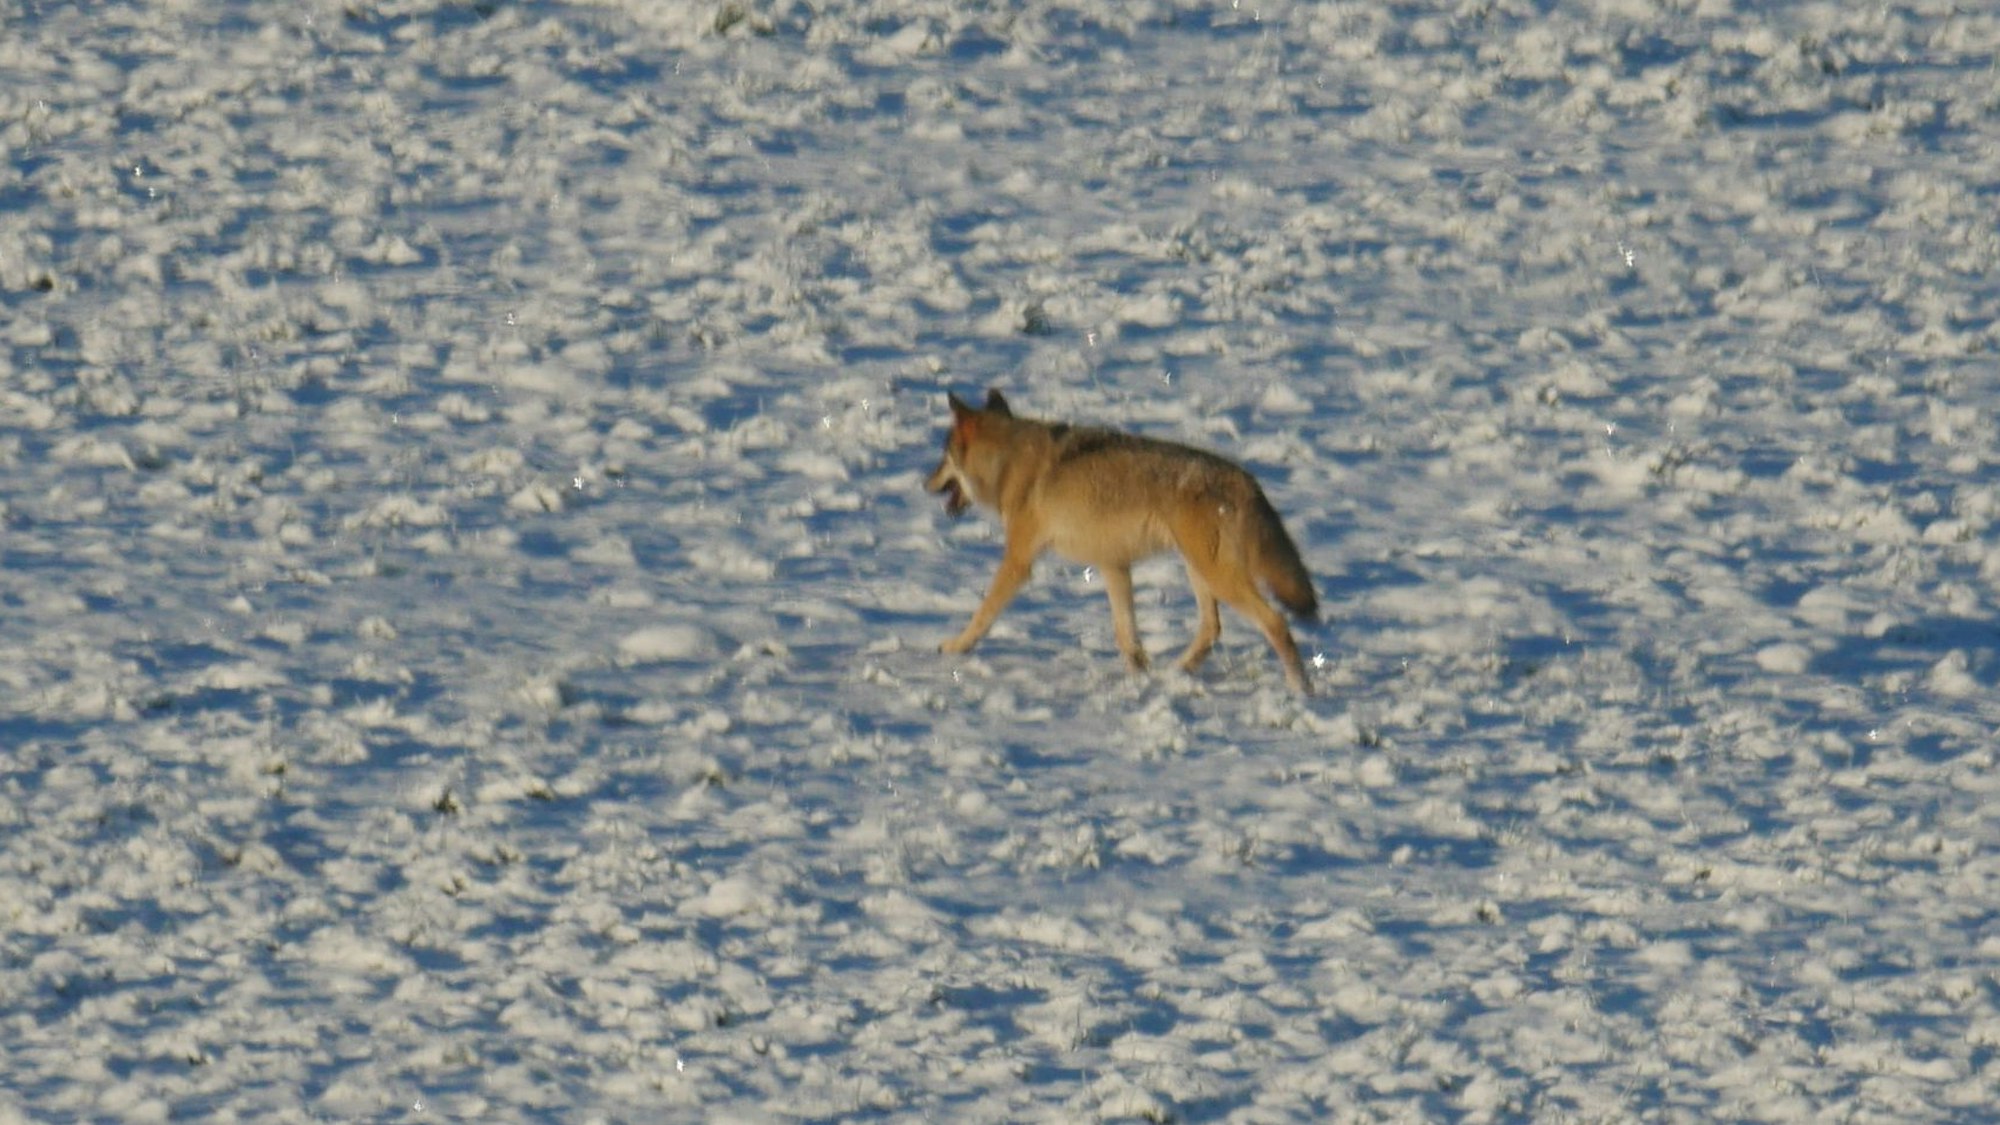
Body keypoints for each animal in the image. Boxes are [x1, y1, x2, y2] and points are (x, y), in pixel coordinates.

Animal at [926, 389, 1318, 693]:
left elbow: (983, 613)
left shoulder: (1019, 561)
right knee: (1212, 628)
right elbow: (1126, 635)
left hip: (1217, 576)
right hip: (1200, 572)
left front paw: (956, 646)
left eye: (942, 457)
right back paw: (1178, 673)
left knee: (1274, 623)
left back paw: (1301, 690)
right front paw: (1139, 678)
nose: (924, 483)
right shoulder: (1113, 564)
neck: (1008, 462)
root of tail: (1248, 482)